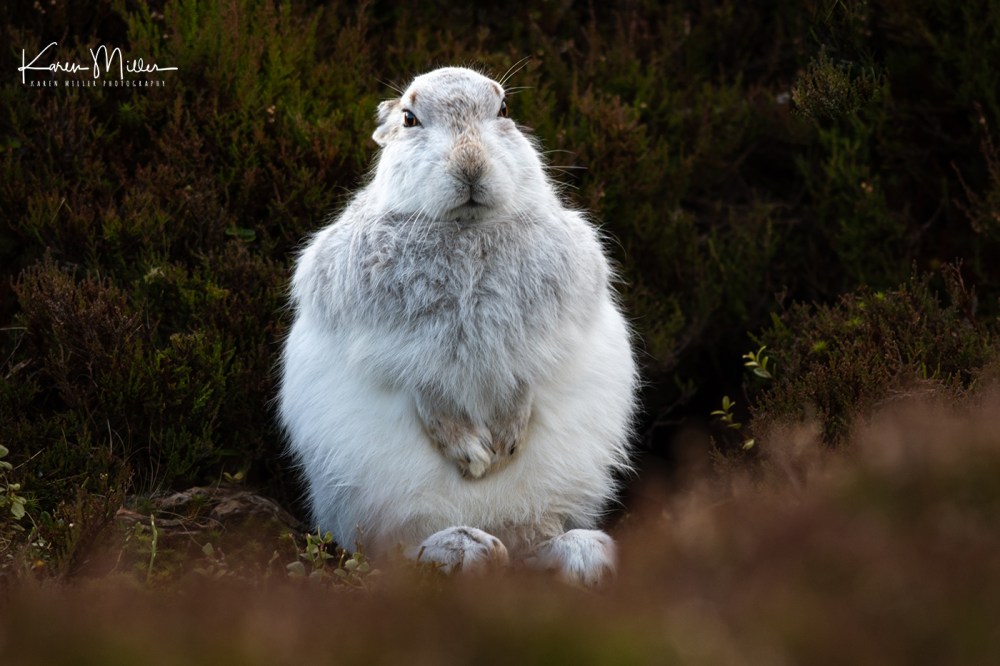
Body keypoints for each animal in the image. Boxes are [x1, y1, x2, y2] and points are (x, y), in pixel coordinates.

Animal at [278, 66, 638, 585]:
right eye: (410, 119)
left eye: (504, 110)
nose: (471, 165)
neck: (467, 229)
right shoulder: (397, 350)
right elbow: (429, 394)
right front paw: (473, 456)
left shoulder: (542, 339)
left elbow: (523, 383)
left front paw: (504, 445)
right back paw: (463, 549)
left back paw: (574, 553)